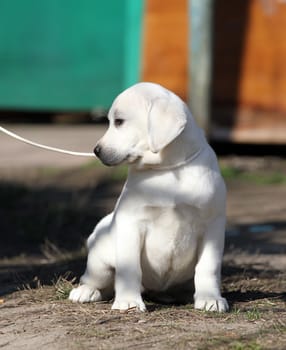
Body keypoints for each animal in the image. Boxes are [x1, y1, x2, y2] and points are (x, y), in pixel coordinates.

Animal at [68, 82, 228, 312]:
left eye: (119, 121)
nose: (96, 150)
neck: (168, 168)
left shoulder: (212, 225)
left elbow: (208, 267)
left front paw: (210, 298)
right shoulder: (132, 223)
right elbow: (129, 269)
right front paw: (128, 301)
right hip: (100, 260)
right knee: (95, 279)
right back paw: (85, 291)